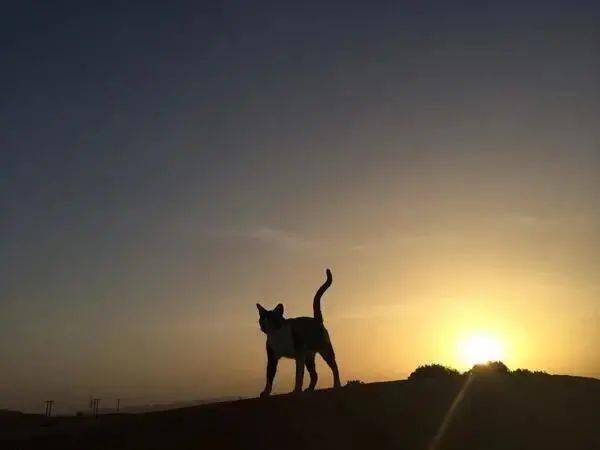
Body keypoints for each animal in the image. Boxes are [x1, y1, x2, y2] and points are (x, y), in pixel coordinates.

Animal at [255, 268, 340, 396]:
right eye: (262, 319)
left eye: (272, 319)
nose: (264, 326)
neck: (276, 335)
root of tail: (316, 319)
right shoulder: (272, 358)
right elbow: (269, 376)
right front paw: (266, 392)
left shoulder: (299, 354)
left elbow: (298, 374)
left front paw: (296, 390)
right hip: (309, 357)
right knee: (314, 374)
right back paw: (309, 389)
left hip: (324, 350)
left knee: (334, 367)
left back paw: (337, 385)